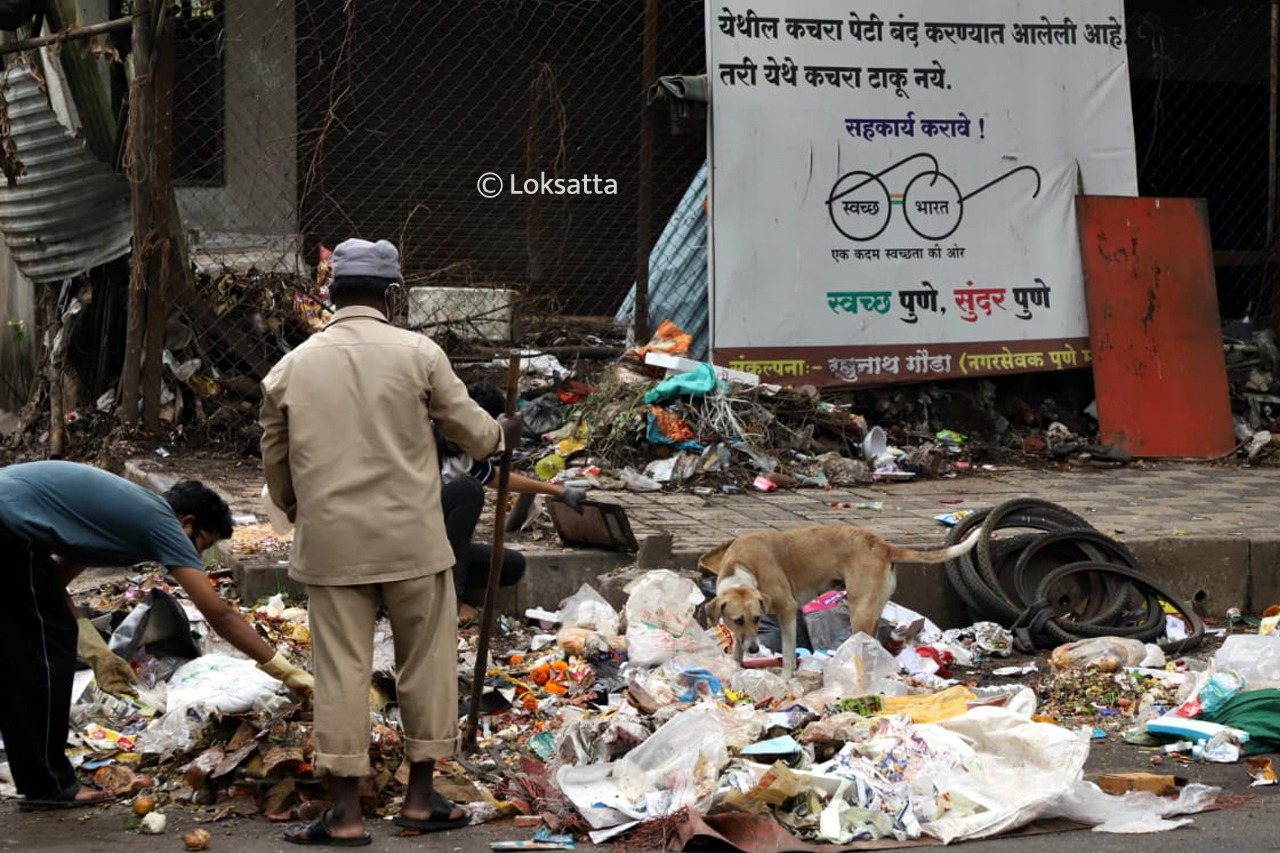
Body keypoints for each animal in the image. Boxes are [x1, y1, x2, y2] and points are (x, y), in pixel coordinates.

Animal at [711, 517, 977, 676]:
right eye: (738, 620)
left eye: (757, 618)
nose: (754, 649)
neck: (741, 566)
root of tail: (883, 546)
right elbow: (737, 648)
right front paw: (735, 667)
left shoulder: (787, 610)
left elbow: (787, 653)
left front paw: (786, 679)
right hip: (872, 608)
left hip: (859, 612)